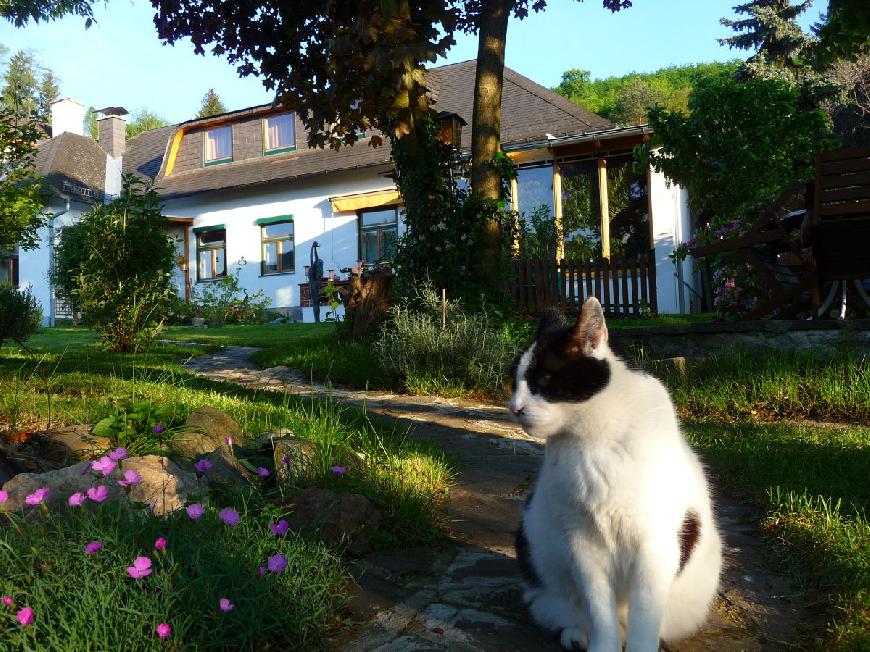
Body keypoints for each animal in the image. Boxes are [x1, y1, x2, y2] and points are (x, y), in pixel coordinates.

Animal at [510, 300, 724, 652]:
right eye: (513, 383)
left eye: (545, 378)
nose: (513, 407)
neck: (594, 438)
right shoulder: (582, 544)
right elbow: (599, 612)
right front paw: (601, 645)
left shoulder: (654, 547)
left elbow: (644, 619)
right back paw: (577, 634)